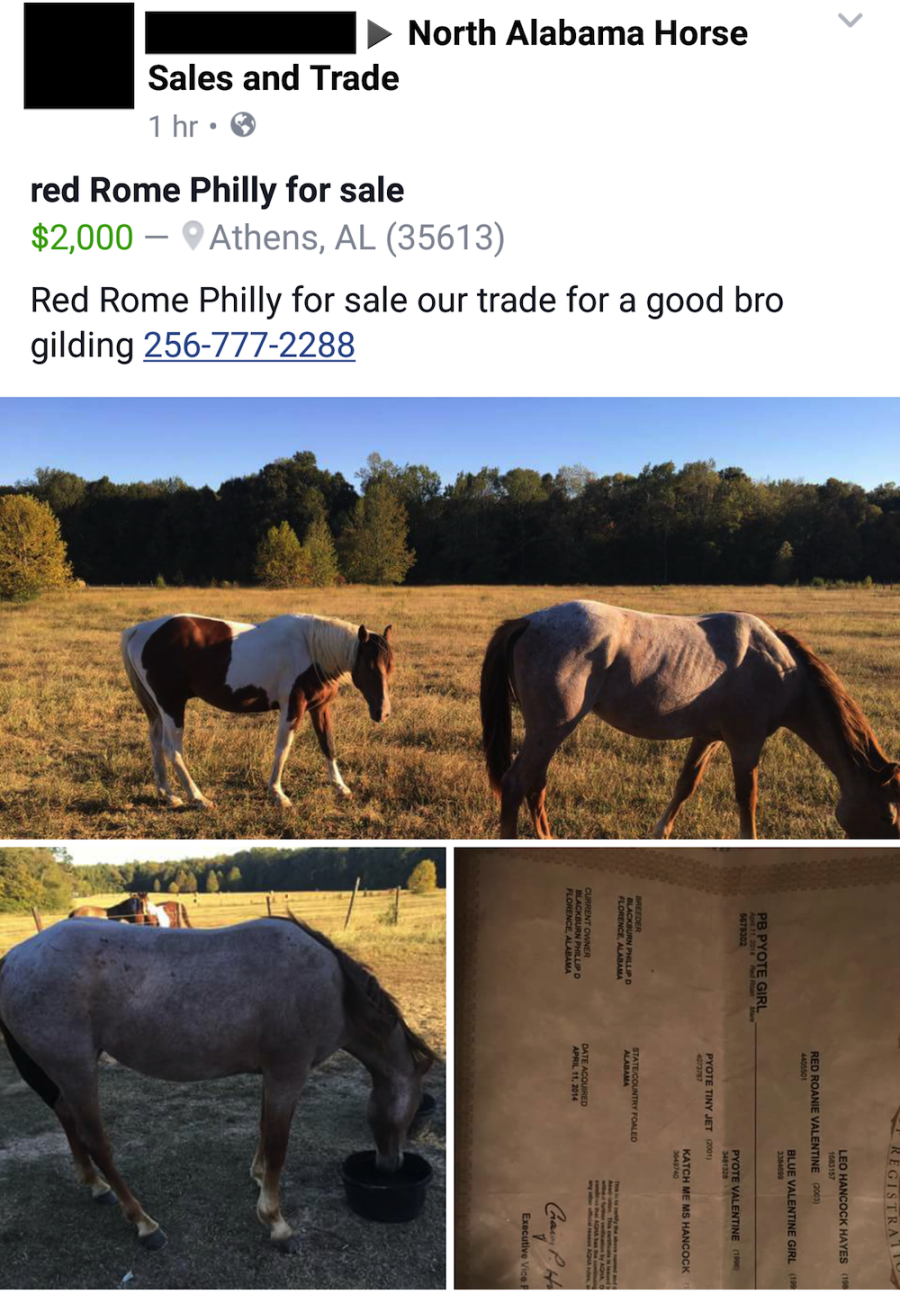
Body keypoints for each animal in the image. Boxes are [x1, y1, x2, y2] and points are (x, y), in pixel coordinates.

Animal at [0, 915, 435, 1253]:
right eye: (414, 1107)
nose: (390, 1165)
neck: (335, 990)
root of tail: (13, 958)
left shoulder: (272, 1076)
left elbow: (264, 1130)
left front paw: (258, 1176)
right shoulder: (288, 1073)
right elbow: (278, 1144)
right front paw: (277, 1223)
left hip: (64, 1071)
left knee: (65, 1115)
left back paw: (95, 1186)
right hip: (76, 1068)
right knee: (96, 1140)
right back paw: (145, 1224)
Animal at [120, 613, 394, 810]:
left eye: (390, 666)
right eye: (369, 666)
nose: (382, 712)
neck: (310, 649)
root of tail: (141, 630)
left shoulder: (320, 708)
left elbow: (328, 745)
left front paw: (341, 788)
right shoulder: (293, 707)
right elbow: (283, 748)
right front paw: (278, 794)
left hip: (157, 709)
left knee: (156, 744)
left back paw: (168, 794)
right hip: (171, 705)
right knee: (172, 749)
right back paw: (199, 799)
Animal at [480, 600, 900, 840]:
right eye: (886, 815)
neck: (782, 669)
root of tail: (529, 621)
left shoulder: (708, 737)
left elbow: (685, 785)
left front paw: (659, 833)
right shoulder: (746, 742)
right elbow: (747, 798)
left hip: (549, 733)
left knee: (535, 784)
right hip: (551, 729)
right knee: (517, 783)